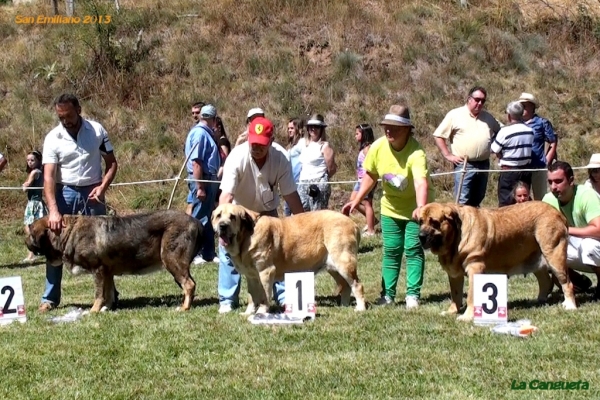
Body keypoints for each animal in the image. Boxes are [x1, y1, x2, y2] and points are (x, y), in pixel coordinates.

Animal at [24, 209, 203, 312]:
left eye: (30, 233)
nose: (25, 241)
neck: (67, 233)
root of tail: (196, 221)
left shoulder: (97, 270)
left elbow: (98, 293)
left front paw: (94, 311)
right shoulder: (107, 272)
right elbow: (108, 292)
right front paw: (106, 308)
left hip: (171, 259)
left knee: (189, 284)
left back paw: (184, 307)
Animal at [213, 205, 368, 314]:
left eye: (233, 217)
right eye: (218, 216)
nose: (223, 225)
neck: (246, 236)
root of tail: (353, 223)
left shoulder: (266, 272)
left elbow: (264, 296)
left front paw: (261, 312)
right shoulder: (251, 277)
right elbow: (252, 297)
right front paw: (248, 313)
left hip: (343, 262)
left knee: (357, 285)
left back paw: (360, 308)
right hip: (333, 267)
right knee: (346, 286)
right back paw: (344, 306)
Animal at [418, 202, 576, 320]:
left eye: (435, 222)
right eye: (420, 222)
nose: (421, 236)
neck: (456, 236)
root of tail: (558, 213)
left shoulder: (475, 267)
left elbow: (471, 296)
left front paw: (467, 317)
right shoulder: (455, 275)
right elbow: (455, 295)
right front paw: (452, 311)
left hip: (554, 255)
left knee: (567, 283)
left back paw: (570, 306)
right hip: (536, 260)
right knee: (545, 281)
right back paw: (539, 300)